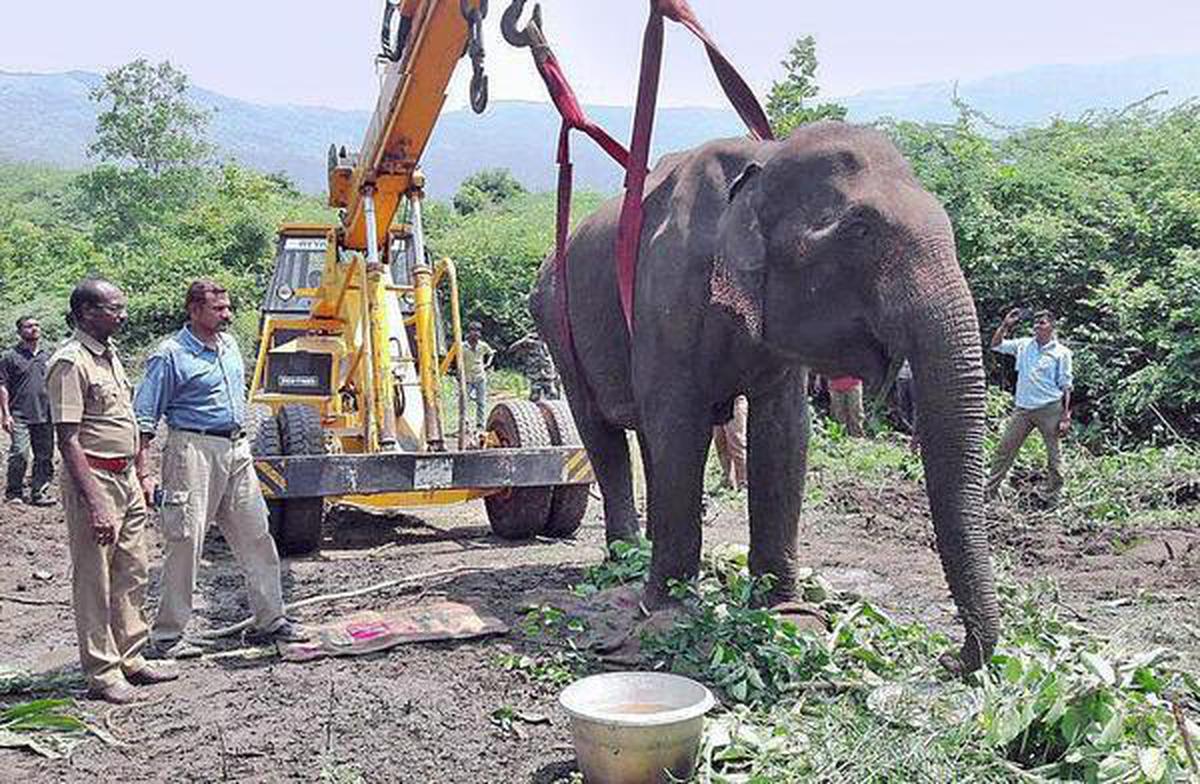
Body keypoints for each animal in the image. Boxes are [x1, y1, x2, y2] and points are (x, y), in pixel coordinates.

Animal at [535, 119, 1003, 667]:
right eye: (860, 230)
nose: (954, 658)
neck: (763, 159)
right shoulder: (665, 293)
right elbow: (680, 424)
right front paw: (671, 614)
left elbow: (783, 433)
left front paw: (787, 616)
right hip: (557, 326)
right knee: (601, 432)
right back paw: (625, 561)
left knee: (646, 435)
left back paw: (642, 556)